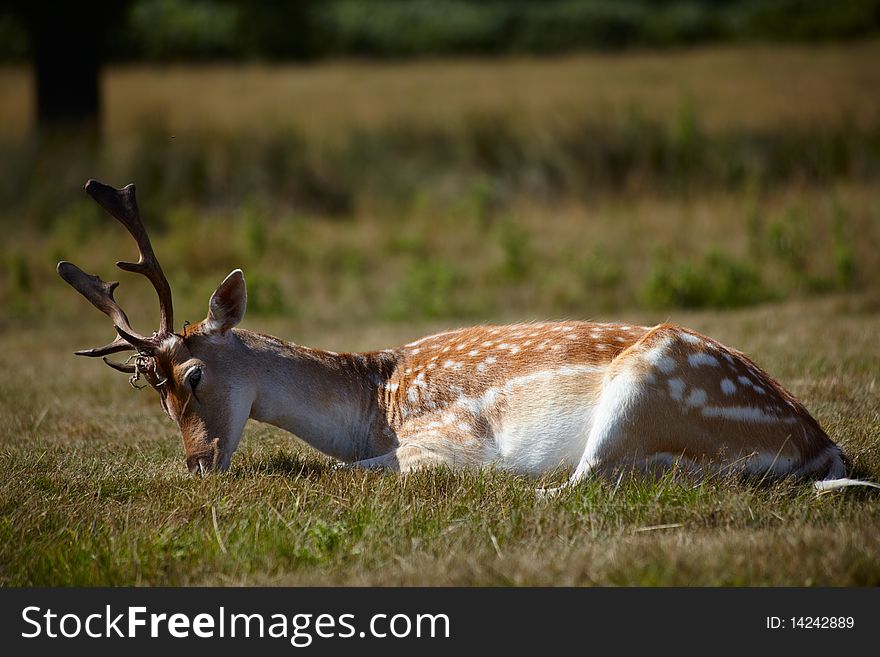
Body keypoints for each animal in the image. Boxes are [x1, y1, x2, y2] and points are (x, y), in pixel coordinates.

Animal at [58, 181, 876, 492]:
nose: (197, 464)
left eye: (194, 376)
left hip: (649, 383)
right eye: (153, 393)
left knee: (584, 480)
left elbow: (369, 470)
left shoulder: (443, 440)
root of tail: (821, 444)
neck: (374, 402)